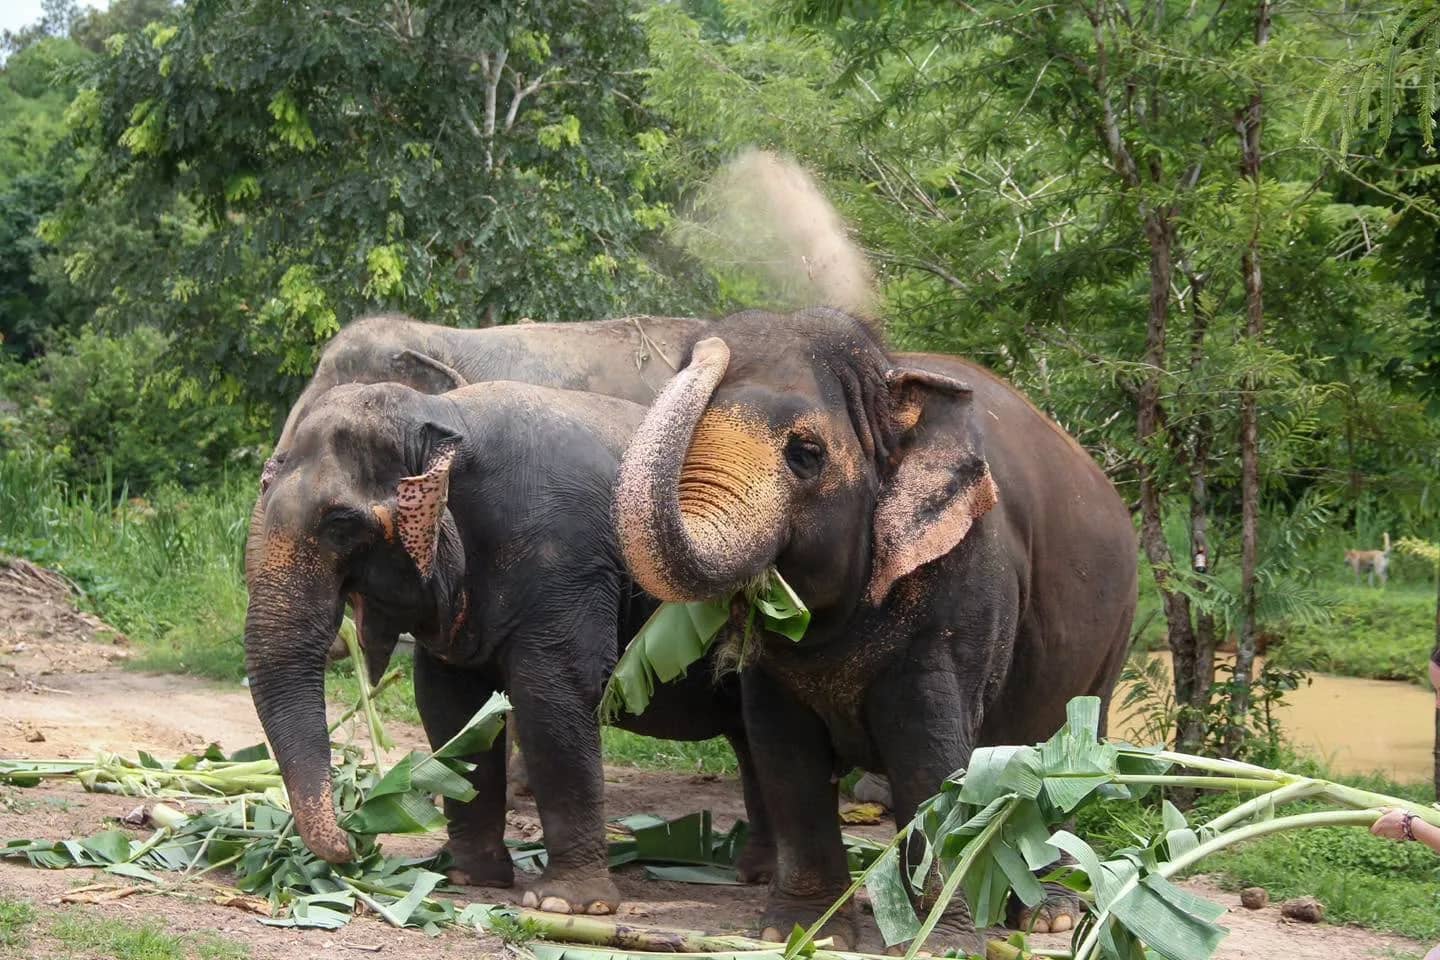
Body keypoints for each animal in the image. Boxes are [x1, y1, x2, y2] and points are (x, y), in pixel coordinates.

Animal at [245, 379, 775, 916]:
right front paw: (467, 876)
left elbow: (554, 695)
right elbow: (449, 705)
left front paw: (566, 905)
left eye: (341, 525)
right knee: (755, 734)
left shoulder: (567, 556)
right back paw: (758, 873)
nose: (349, 847)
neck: (444, 414)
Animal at [611, 307, 1138, 951]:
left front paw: (939, 941)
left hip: (1113, 636)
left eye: (806, 453)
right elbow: (784, 754)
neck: (891, 381)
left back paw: (1047, 915)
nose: (711, 344)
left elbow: (929, 754)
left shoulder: (963, 587)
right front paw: (805, 932)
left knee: (1058, 756)